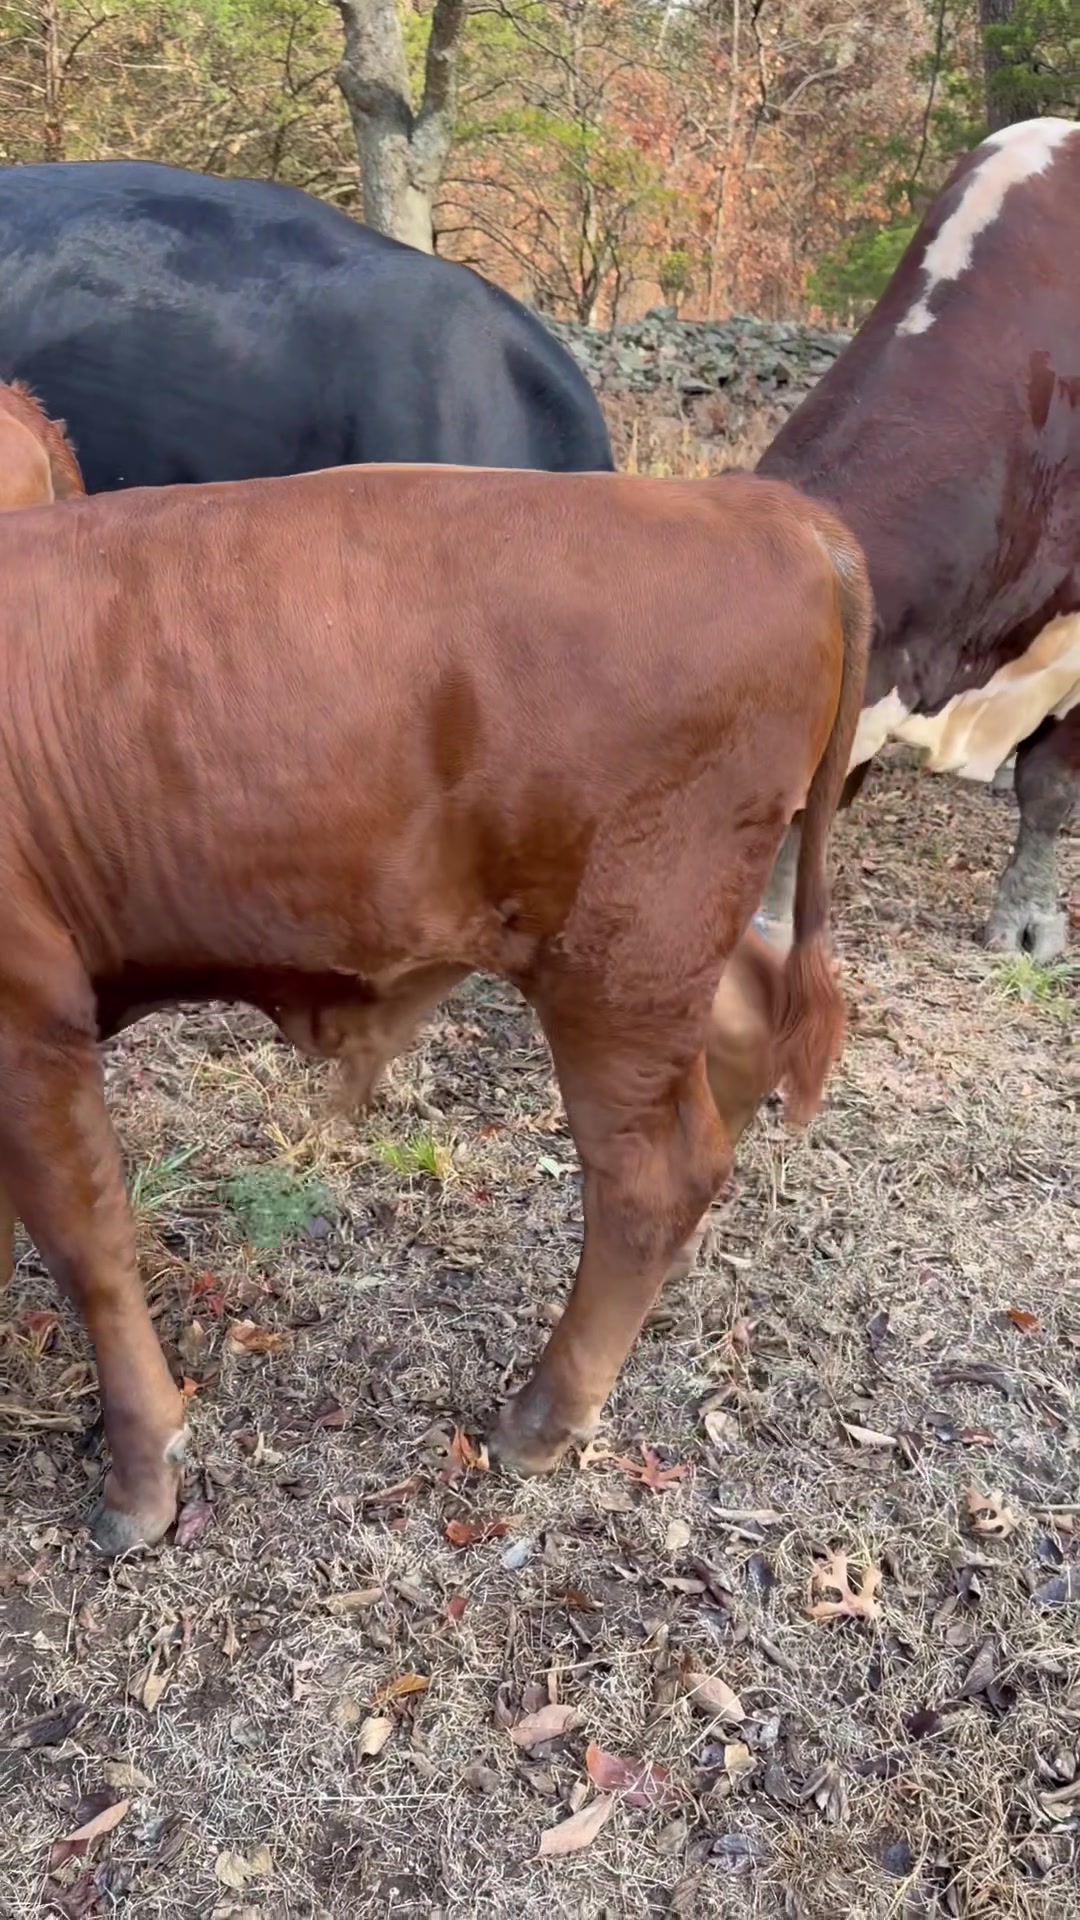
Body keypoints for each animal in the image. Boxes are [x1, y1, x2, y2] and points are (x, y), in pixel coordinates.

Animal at [0, 463, 869, 1553]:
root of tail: (754, 506)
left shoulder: (28, 1012)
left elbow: (87, 1246)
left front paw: (140, 1483)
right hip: (653, 963)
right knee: (743, 1034)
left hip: (624, 956)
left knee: (652, 1176)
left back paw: (542, 1419)